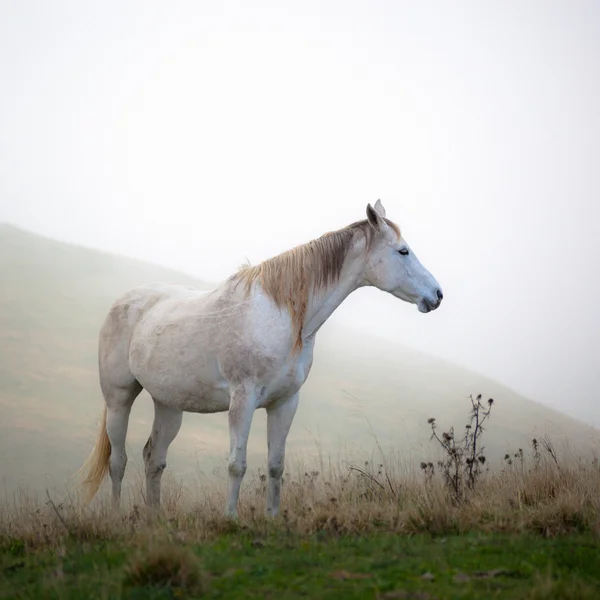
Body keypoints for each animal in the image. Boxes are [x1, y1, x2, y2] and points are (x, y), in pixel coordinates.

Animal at [77, 200, 440, 516]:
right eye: (403, 251)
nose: (436, 295)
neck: (283, 316)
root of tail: (125, 301)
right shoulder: (243, 399)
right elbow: (237, 464)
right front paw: (230, 518)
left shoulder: (284, 403)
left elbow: (276, 466)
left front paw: (272, 517)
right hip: (119, 398)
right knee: (118, 461)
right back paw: (115, 517)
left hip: (168, 405)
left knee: (154, 459)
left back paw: (155, 519)